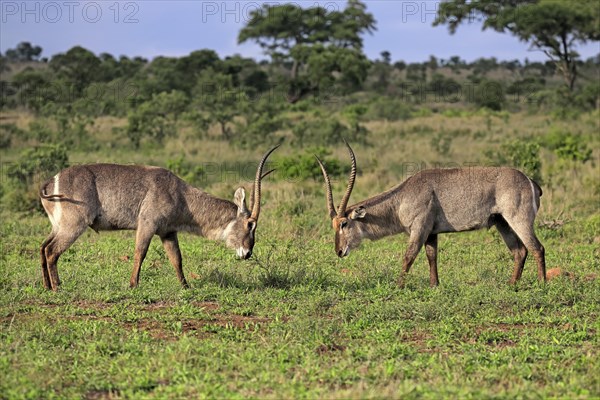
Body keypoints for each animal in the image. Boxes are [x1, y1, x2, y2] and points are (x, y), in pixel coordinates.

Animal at [39, 145, 278, 290]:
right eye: (250, 224)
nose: (248, 253)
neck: (180, 194)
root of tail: (51, 181)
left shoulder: (168, 232)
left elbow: (177, 258)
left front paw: (185, 286)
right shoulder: (148, 224)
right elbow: (140, 253)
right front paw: (133, 285)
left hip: (58, 226)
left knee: (43, 247)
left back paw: (47, 286)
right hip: (73, 225)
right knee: (52, 251)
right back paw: (58, 287)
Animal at [316, 142, 548, 286]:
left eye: (344, 223)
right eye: (334, 225)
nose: (339, 251)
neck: (402, 197)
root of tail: (530, 181)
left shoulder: (419, 228)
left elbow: (408, 256)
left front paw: (398, 286)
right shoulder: (431, 232)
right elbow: (431, 256)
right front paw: (434, 285)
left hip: (518, 220)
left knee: (537, 248)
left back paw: (542, 284)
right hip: (502, 223)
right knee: (520, 251)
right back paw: (511, 284)